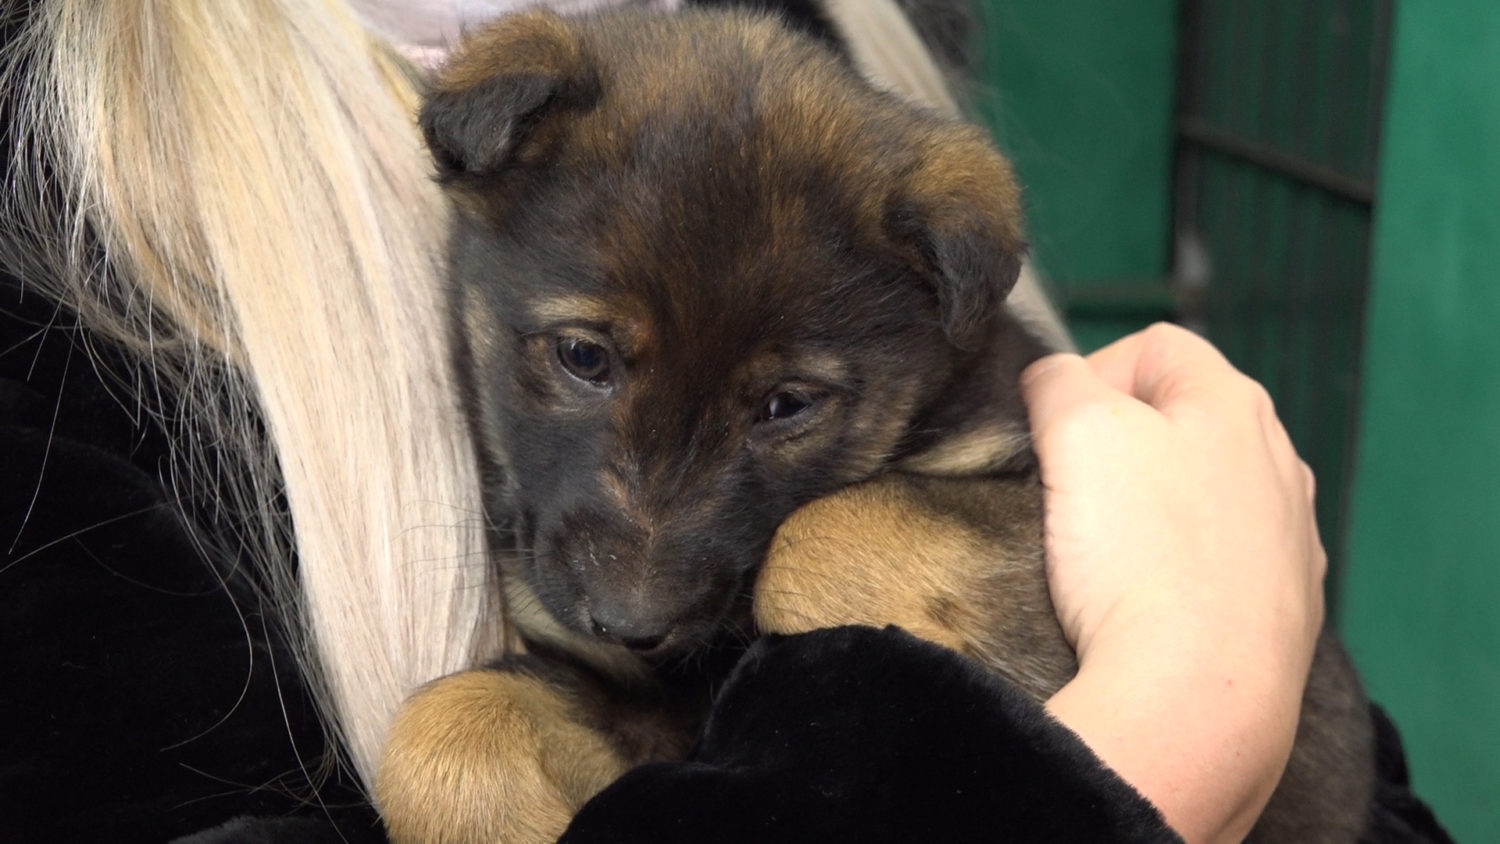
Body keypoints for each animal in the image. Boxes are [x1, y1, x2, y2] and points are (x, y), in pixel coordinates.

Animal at [375, 8, 1374, 844]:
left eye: (786, 405)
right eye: (584, 356)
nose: (632, 622)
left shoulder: (1022, 497)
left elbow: (824, 537)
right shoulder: (636, 701)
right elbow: (441, 726)